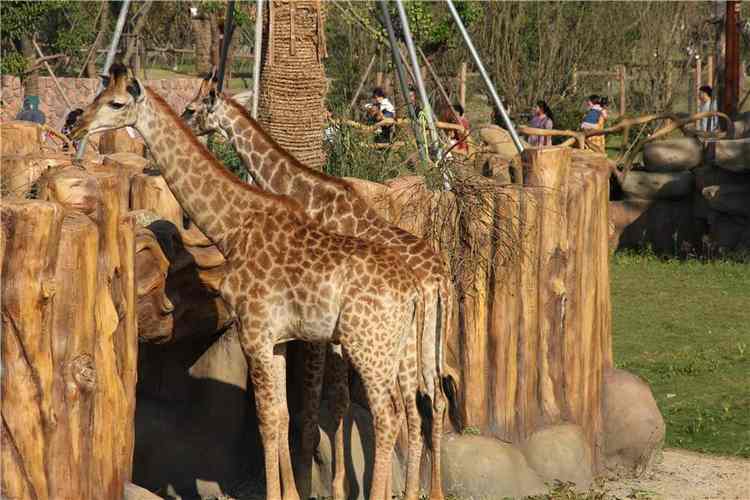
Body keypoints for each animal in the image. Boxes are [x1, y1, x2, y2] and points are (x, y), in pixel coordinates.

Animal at [72, 63, 428, 500]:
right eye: (97, 96)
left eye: (116, 103)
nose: (75, 124)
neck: (232, 226)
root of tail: (413, 290)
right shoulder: (276, 339)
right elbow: (281, 414)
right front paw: (291, 494)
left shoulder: (254, 334)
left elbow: (266, 421)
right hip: (394, 348)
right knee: (405, 411)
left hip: (368, 347)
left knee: (387, 415)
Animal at [183, 75, 456, 500]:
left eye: (192, 108)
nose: (182, 121)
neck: (305, 190)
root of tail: (439, 277)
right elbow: (337, 401)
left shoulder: (317, 323)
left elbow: (316, 399)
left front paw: (312, 483)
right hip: (428, 337)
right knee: (436, 398)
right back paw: (434, 490)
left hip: (401, 339)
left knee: (411, 404)